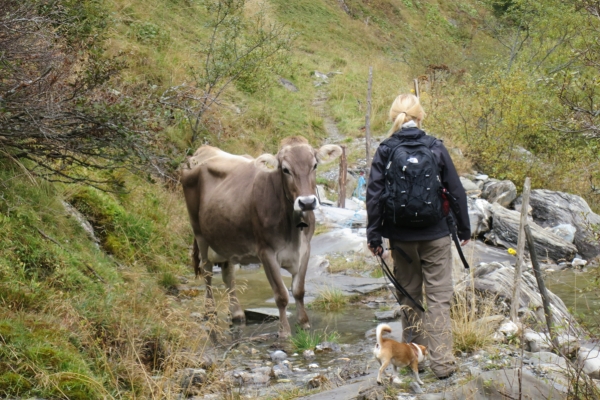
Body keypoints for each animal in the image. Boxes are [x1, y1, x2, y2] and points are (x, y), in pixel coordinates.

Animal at [180, 136, 342, 336]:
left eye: (315, 165)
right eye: (285, 169)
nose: (306, 202)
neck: (293, 231)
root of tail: (203, 150)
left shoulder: (305, 249)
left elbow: (298, 290)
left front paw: (304, 323)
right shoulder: (266, 252)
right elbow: (281, 294)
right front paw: (284, 331)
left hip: (226, 240)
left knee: (228, 275)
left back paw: (237, 313)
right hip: (200, 233)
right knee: (207, 271)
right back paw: (210, 312)